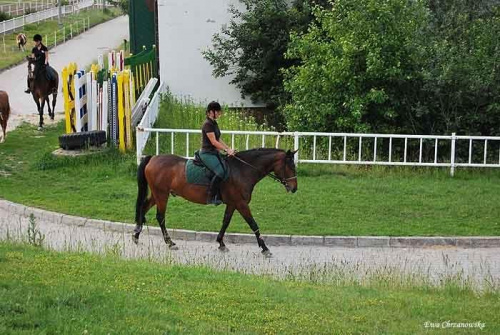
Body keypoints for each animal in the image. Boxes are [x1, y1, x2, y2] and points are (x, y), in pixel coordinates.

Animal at [134, 148, 296, 256]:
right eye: (290, 166)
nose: (294, 188)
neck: (242, 170)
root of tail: (153, 158)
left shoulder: (232, 203)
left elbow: (225, 222)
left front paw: (221, 243)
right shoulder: (241, 204)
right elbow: (253, 224)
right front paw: (265, 248)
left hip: (157, 194)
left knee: (143, 207)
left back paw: (136, 235)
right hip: (162, 195)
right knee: (160, 217)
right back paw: (170, 242)